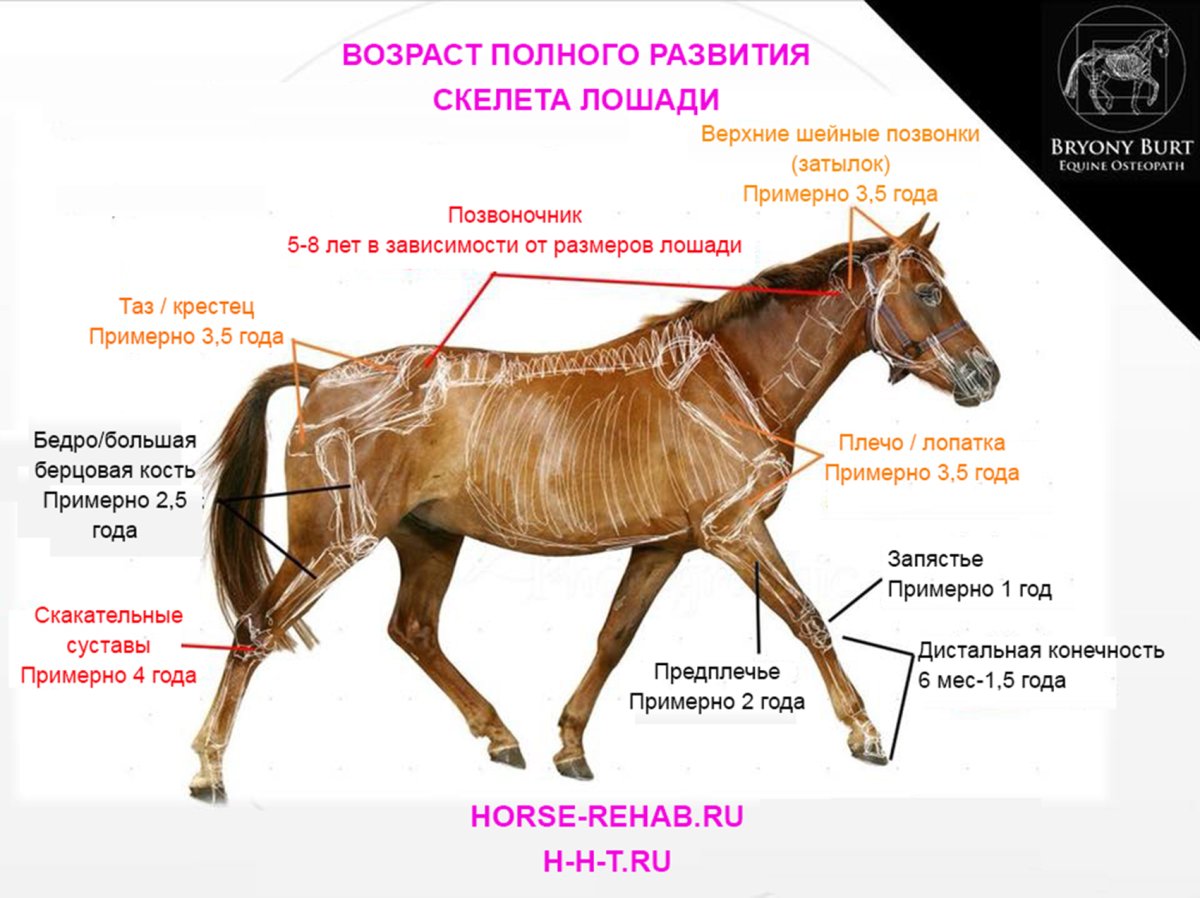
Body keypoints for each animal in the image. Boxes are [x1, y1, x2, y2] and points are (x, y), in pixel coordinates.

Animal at [189, 214, 1000, 802]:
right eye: (928, 292)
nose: (984, 376)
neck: (728, 382)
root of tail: (324, 377)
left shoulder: (666, 544)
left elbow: (615, 637)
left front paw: (570, 747)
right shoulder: (735, 532)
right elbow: (809, 619)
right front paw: (865, 734)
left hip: (427, 540)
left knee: (412, 630)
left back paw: (501, 736)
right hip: (333, 543)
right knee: (257, 627)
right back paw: (208, 769)